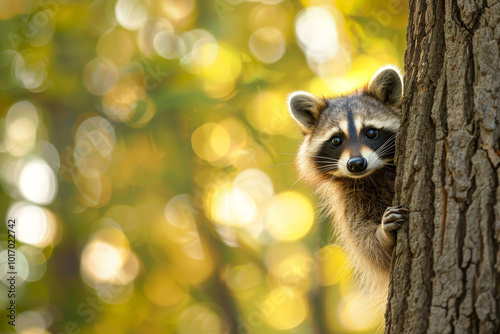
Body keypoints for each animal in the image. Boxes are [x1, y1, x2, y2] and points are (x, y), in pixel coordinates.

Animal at [288, 65, 408, 306]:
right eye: (336, 140)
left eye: (371, 132)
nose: (356, 164)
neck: (373, 173)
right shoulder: (349, 197)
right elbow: (365, 242)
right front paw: (383, 235)